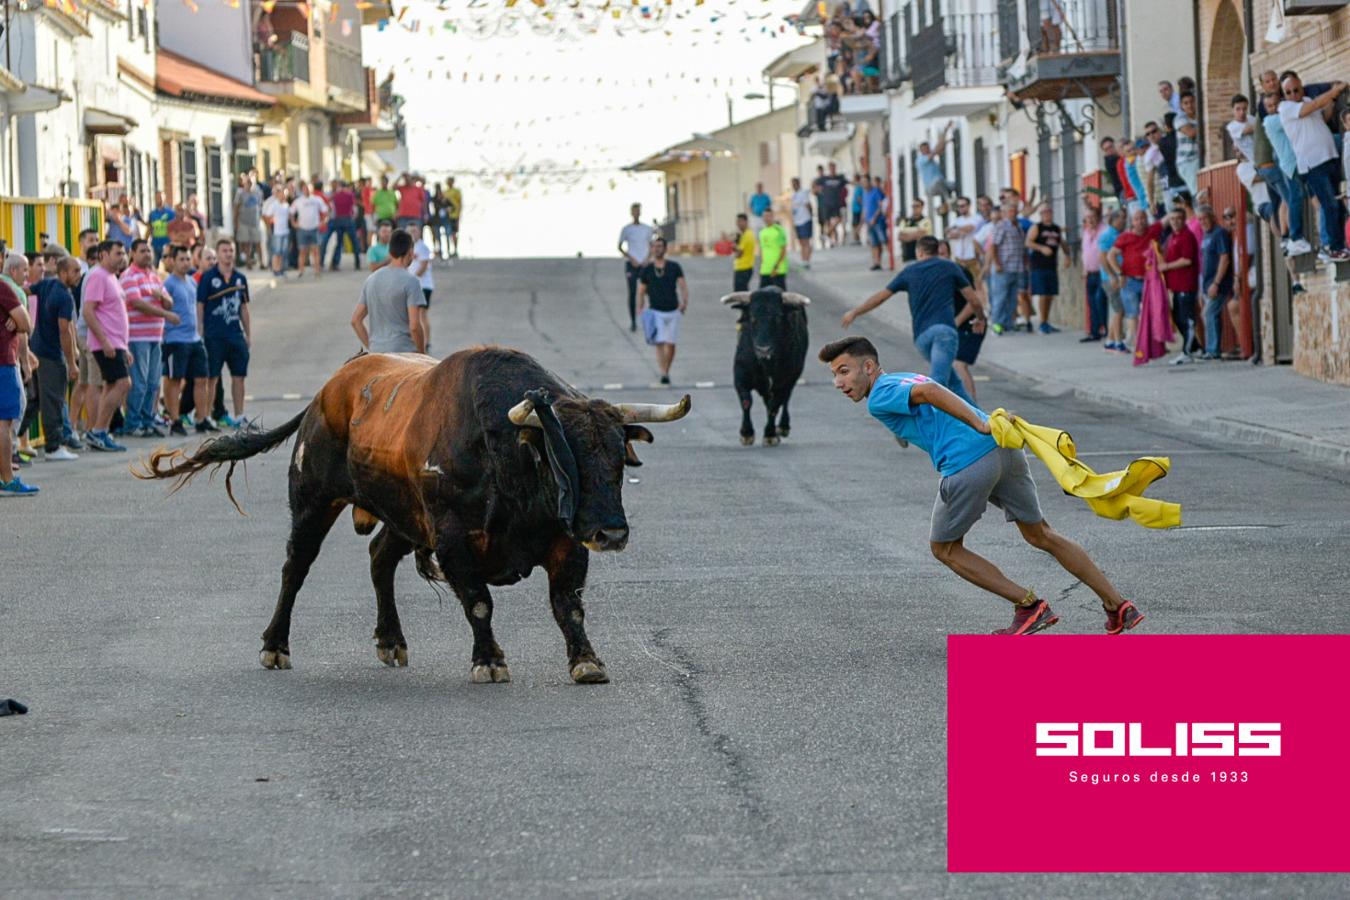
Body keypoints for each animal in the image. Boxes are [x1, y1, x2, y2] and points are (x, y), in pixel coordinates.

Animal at [138, 348, 691, 685]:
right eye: (564, 459)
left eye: (618, 460)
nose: (611, 532)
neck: (503, 453)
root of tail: (329, 389)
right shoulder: (452, 539)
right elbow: (479, 603)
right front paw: (489, 660)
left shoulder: (566, 541)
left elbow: (568, 606)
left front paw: (587, 661)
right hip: (314, 500)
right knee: (295, 567)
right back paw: (275, 646)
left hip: (403, 516)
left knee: (379, 558)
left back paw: (391, 640)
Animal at [723, 287, 804, 445]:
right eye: (752, 318)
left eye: (778, 317)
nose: (763, 349)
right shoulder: (740, 375)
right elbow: (746, 402)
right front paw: (746, 433)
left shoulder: (783, 381)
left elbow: (774, 406)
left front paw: (770, 434)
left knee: (784, 400)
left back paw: (783, 427)